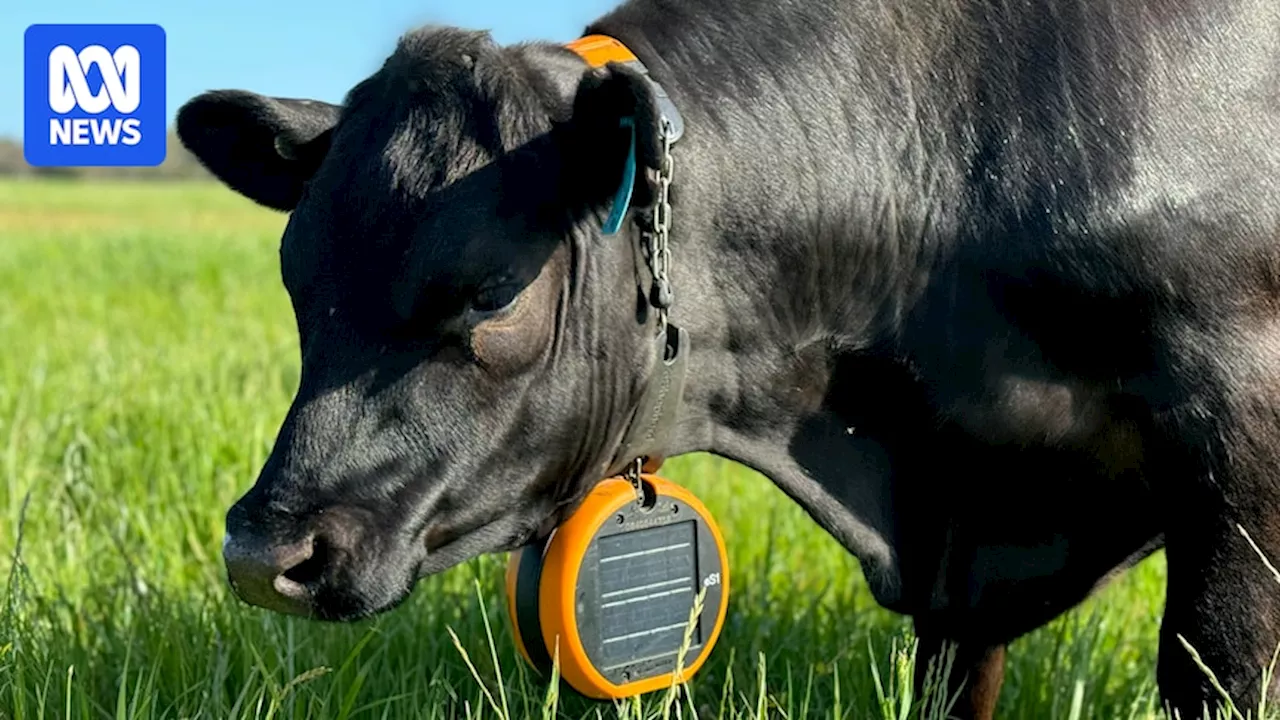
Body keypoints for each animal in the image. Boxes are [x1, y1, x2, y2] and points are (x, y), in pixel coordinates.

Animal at [175, 2, 1280, 712]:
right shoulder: (962, 539)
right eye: (297, 279)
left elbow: (1213, 667)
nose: (263, 553)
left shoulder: (1239, 445)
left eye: (491, 291)